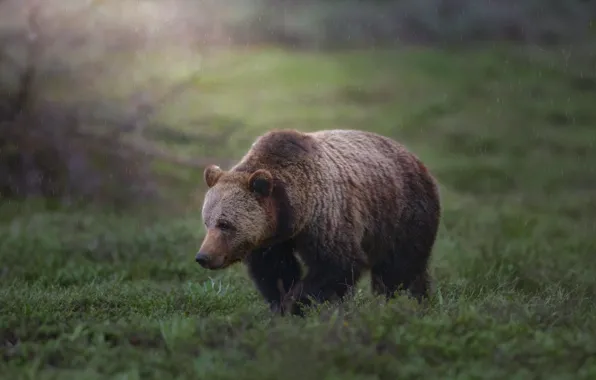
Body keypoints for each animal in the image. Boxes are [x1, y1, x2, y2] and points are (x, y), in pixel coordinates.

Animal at [197, 129, 442, 316]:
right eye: (207, 222)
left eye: (225, 224)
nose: (203, 257)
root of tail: (416, 159)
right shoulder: (271, 240)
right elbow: (275, 271)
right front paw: (280, 303)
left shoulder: (327, 216)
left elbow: (336, 264)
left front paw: (296, 303)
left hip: (400, 214)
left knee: (399, 269)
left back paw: (401, 302)